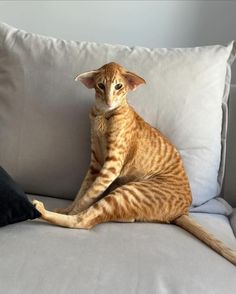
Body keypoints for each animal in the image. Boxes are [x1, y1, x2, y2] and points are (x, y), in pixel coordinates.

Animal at [33, 61, 236, 264]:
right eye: (100, 85)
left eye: (118, 86)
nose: (109, 101)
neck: (102, 115)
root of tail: (183, 211)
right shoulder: (95, 163)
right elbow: (82, 192)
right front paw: (67, 208)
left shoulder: (111, 166)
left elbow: (87, 196)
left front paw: (70, 211)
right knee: (120, 216)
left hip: (127, 192)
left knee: (85, 221)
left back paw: (43, 211)